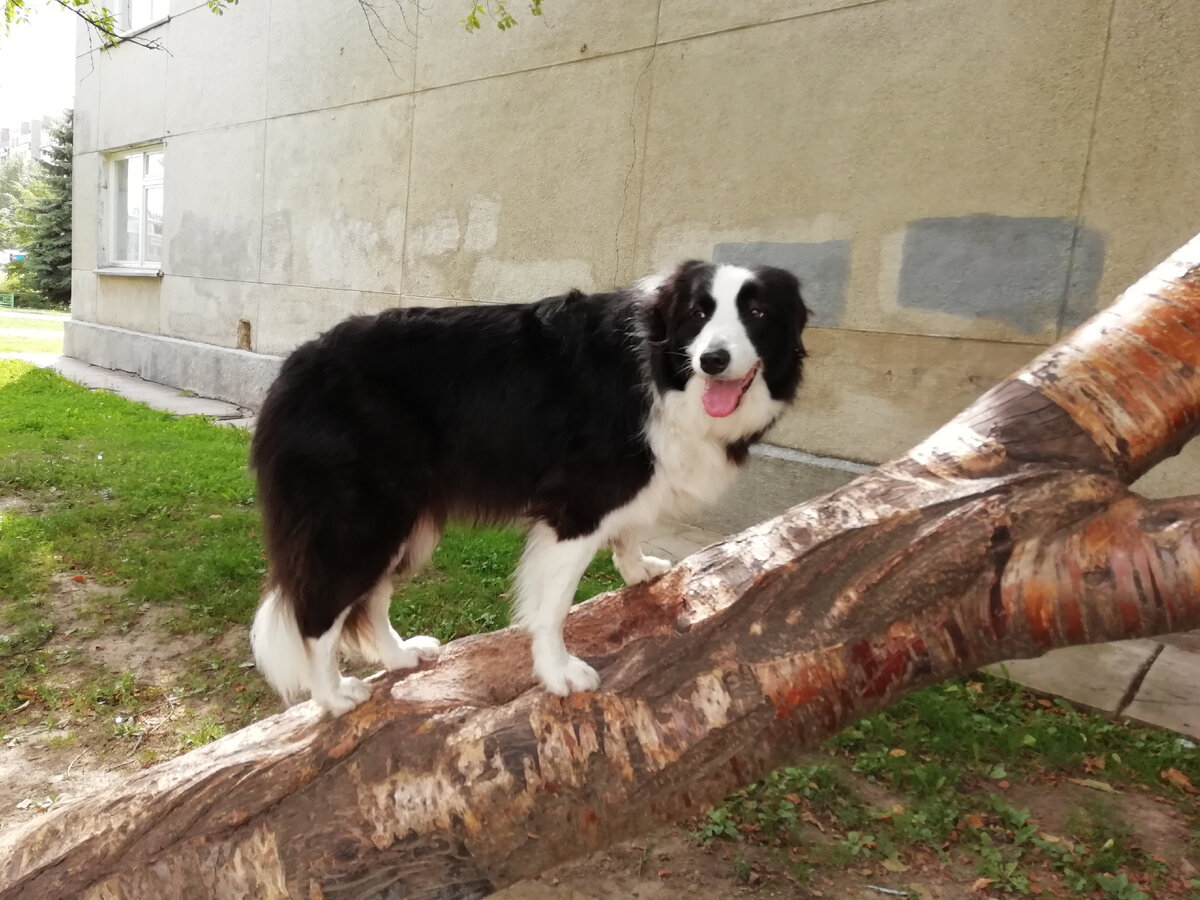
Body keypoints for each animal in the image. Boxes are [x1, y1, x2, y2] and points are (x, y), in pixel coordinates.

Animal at [248, 262, 811, 720]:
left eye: (757, 312)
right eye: (699, 313)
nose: (713, 360)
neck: (662, 369)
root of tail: (292, 367)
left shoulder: (628, 484)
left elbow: (629, 530)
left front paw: (638, 571)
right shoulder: (579, 504)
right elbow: (552, 604)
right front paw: (559, 673)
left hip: (405, 517)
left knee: (373, 595)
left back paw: (400, 656)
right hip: (361, 517)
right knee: (318, 610)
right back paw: (333, 696)